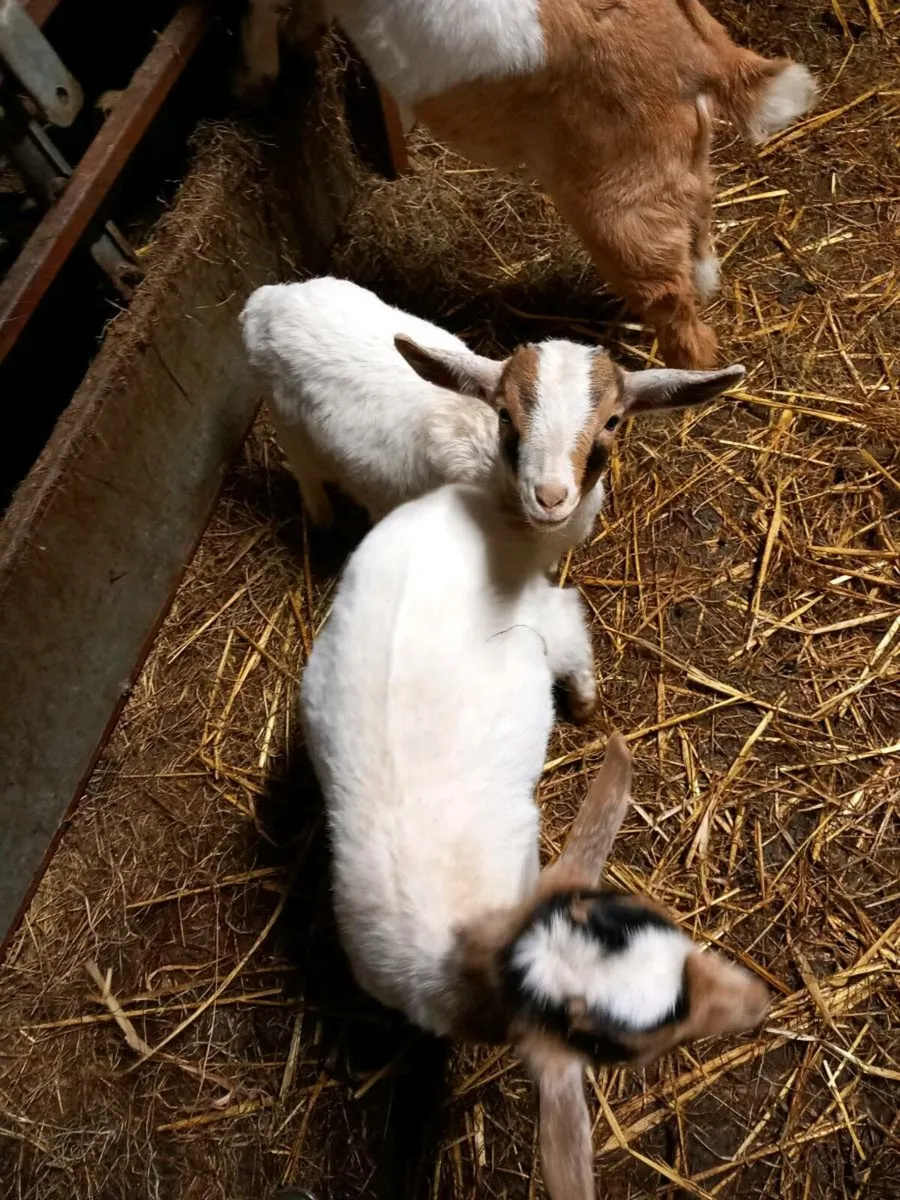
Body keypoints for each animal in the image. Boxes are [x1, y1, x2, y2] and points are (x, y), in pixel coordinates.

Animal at [236, 0, 815, 368]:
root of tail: (703, 58)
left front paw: (256, 77)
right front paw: (297, 42)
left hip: (617, 208)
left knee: (677, 310)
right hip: (682, 170)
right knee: (698, 239)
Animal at [240, 276, 744, 539]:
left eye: (613, 421)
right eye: (505, 414)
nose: (550, 497)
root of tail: (262, 301)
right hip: (285, 421)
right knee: (305, 473)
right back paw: (323, 519)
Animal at [300, 482, 770, 1194]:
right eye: (620, 1049)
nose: (761, 1002)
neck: (468, 944)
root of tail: (452, 502)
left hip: (538, 611)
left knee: (572, 624)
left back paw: (583, 703)